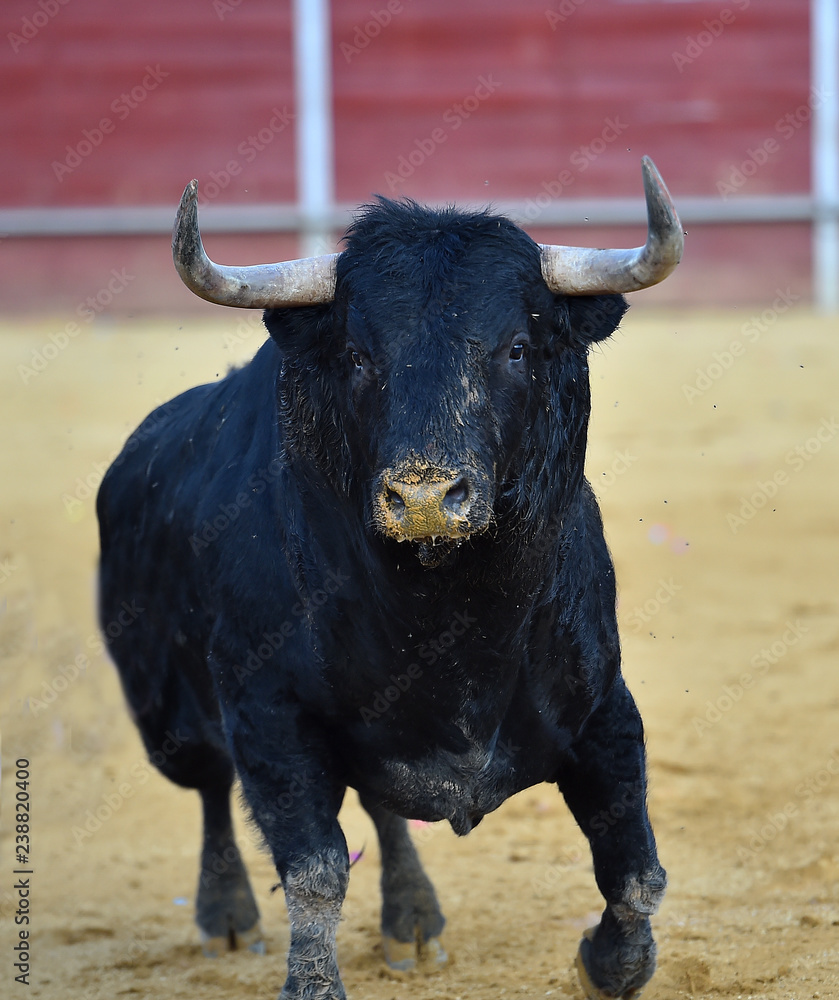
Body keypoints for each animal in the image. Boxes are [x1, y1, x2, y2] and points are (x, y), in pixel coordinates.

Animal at [97, 189, 676, 1000]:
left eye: (516, 348)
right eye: (359, 356)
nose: (425, 497)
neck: (451, 616)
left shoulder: (604, 708)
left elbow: (633, 868)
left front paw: (608, 965)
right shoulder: (267, 715)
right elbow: (314, 871)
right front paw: (311, 984)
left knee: (381, 807)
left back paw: (412, 921)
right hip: (165, 715)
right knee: (212, 789)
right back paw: (228, 917)